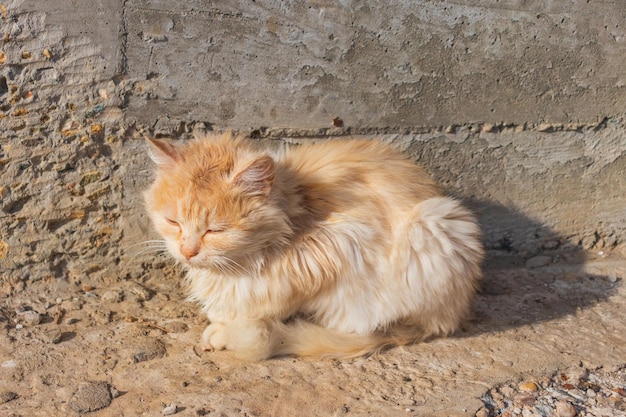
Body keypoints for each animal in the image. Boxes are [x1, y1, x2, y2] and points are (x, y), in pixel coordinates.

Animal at [143, 132, 482, 358]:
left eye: (215, 230)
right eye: (173, 222)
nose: (188, 251)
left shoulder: (342, 241)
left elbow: (273, 299)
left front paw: (234, 325)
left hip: (435, 224)